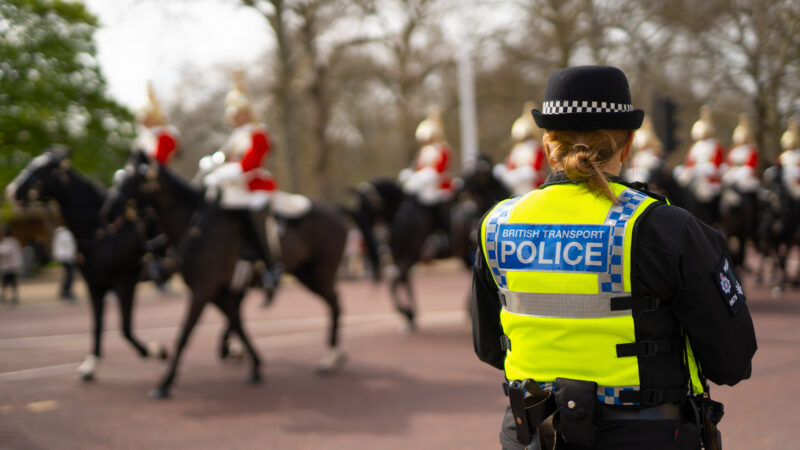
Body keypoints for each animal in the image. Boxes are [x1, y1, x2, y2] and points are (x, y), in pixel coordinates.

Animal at [3, 150, 167, 380]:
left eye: (42, 169)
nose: (11, 190)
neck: (102, 233)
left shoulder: (125, 282)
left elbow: (125, 328)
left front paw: (154, 350)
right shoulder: (94, 285)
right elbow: (97, 324)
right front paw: (91, 364)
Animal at [103, 151, 346, 398]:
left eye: (130, 179)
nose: (107, 211)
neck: (196, 225)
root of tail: (336, 210)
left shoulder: (203, 291)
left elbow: (185, 334)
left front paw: (165, 383)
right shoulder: (219, 293)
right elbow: (237, 324)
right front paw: (254, 365)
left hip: (319, 276)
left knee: (336, 305)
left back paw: (330, 358)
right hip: (305, 275)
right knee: (333, 304)